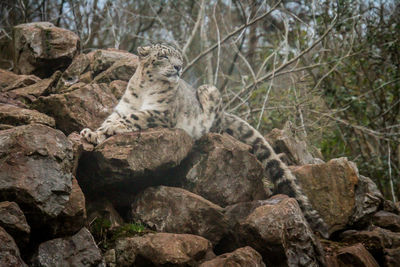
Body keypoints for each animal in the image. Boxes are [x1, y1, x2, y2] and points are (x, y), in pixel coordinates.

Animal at [81, 44, 328, 239]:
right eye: (164, 56)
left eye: (179, 58)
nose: (178, 67)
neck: (144, 89)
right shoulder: (122, 107)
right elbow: (112, 118)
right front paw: (92, 133)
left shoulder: (161, 113)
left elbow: (134, 117)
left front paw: (111, 128)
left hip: (209, 91)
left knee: (215, 124)